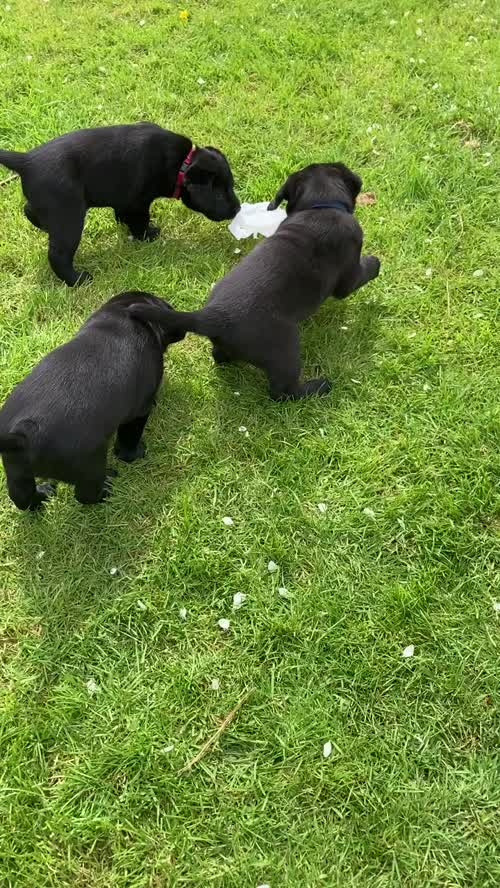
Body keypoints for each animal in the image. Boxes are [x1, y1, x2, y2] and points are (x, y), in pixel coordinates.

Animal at [0, 122, 240, 284]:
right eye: (220, 194)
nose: (237, 208)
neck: (182, 164)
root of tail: (26, 161)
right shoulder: (138, 203)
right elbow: (140, 221)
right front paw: (148, 235)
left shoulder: (124, 199)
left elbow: (121, 213)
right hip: (69, 217)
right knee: (58, 255)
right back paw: (78, 280)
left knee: (29, 210)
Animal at [0, 292, 186, 510]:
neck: (120, 316)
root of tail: (22, 434)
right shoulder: (139, 410)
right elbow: (129, 437)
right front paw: (133, 454)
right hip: (90, 465)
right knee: (85, 495)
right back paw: (106, 486)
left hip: (16, 470)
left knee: (22, 497)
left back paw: (43, 492)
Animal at [127, 161, 380, 400]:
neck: (322, 205)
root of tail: (212, 316)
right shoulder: (348, 276)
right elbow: (365, 271)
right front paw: (376, 261)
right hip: (285, 350)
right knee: (282, 391)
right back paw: (318, 387)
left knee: (219, 355)